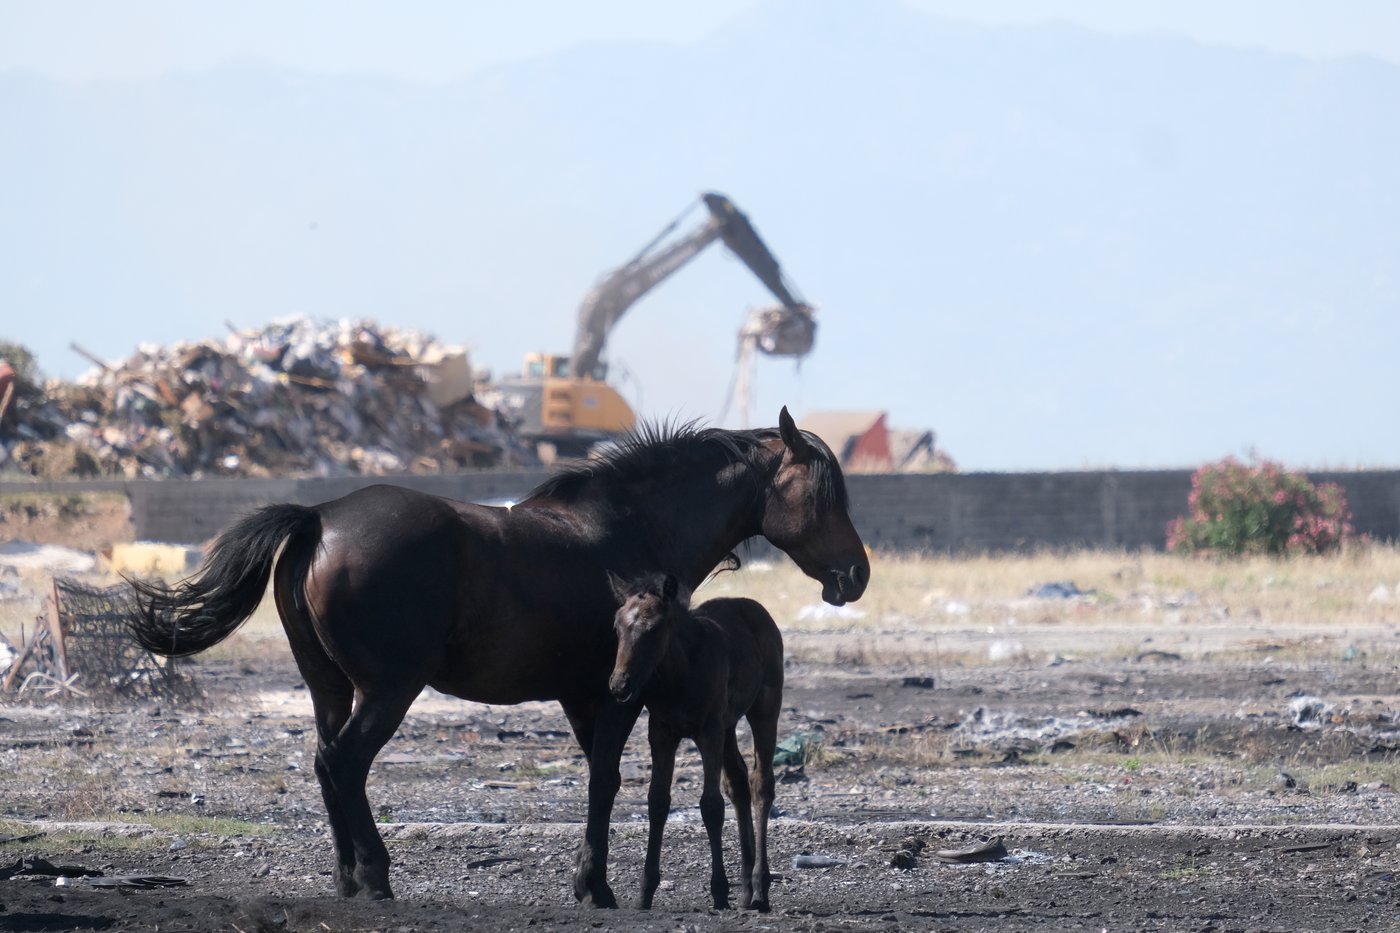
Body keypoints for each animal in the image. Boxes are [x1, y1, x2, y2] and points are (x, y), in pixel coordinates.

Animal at [607, 572, 783, 912]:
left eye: (653, 629)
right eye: (617, 627)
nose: (619, 685)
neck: (679, 675)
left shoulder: (708, 731)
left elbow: (711, 805)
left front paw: (719, 891)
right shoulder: (661, 732)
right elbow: (657, 801)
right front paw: (645, 891)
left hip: (765, 707)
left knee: (761, 783)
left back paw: (760, 886)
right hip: (728, 724)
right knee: (738, 781)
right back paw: (746, 889)